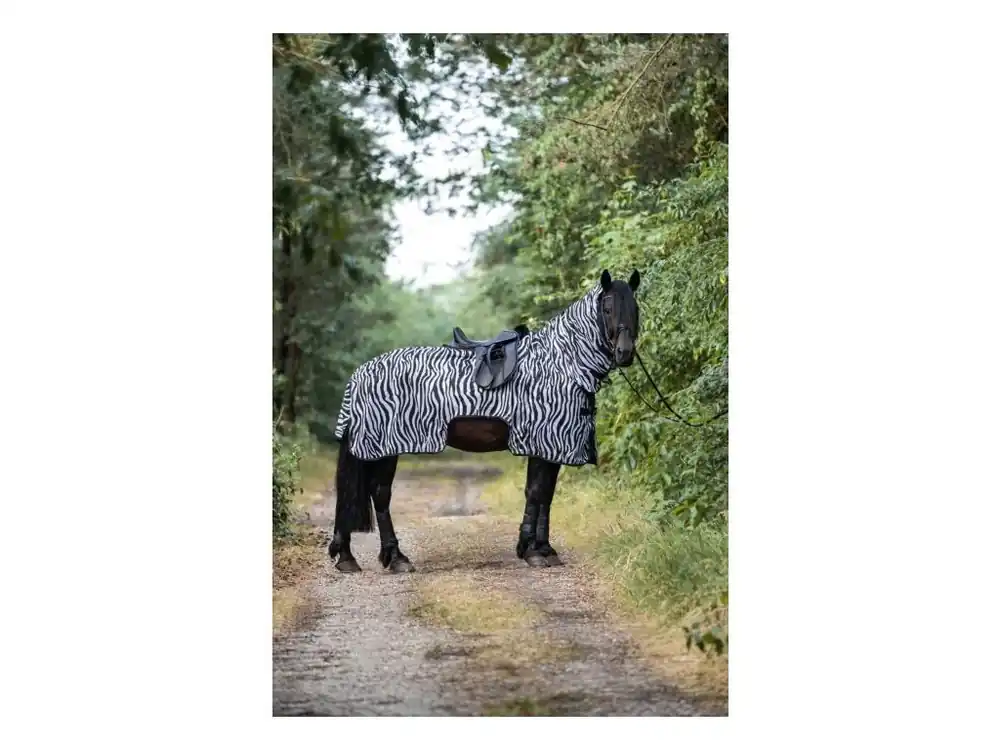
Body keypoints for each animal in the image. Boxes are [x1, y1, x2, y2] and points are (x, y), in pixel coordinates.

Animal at [330, 268, 641, 572]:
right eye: (608, 308)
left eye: (635, 309)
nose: (624, 353)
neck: (560, 364)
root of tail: (360, 374)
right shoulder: (542, 440)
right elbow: (536, 492)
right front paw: (532, 552)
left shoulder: (551, 447)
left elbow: (545, 495)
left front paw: (544, 549)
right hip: (385, 448)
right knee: (379, 495)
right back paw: (394, 558)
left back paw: (348, 557)